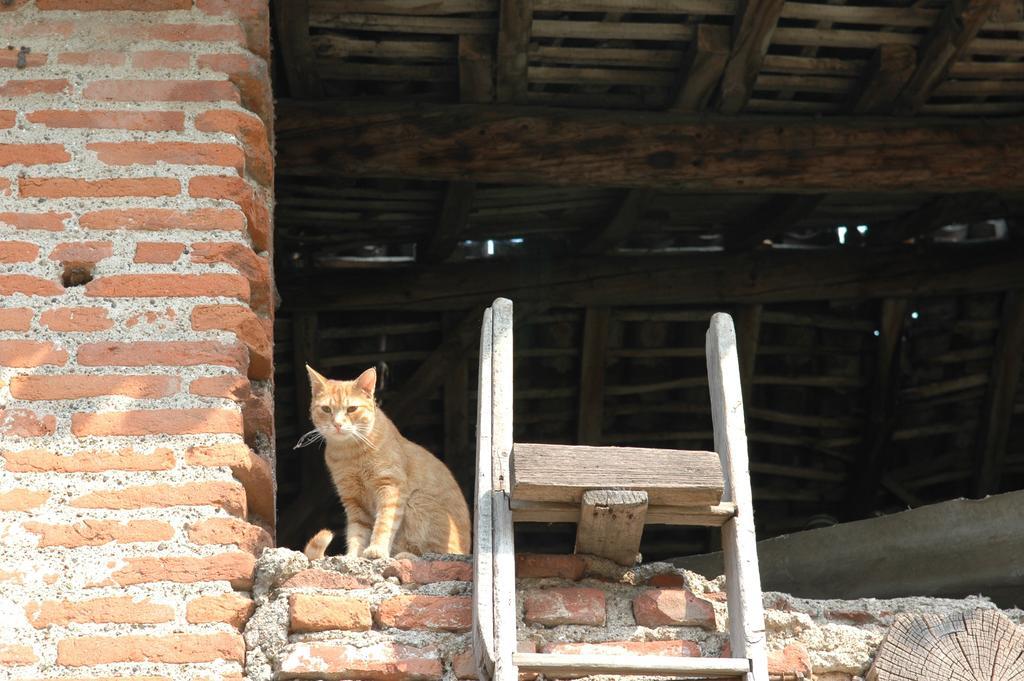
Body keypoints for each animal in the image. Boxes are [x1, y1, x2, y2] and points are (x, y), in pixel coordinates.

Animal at [299, 366, 468, 557]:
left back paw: (405, 555)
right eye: (326, 409)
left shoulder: (390, 487)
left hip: (418, 500)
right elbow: (357, 532)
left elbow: (384, 523)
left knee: (431, 552)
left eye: (352, 409)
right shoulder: (353, 500)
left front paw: (377, 549)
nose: (337, 424)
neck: (350, 453)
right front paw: (352, 556)